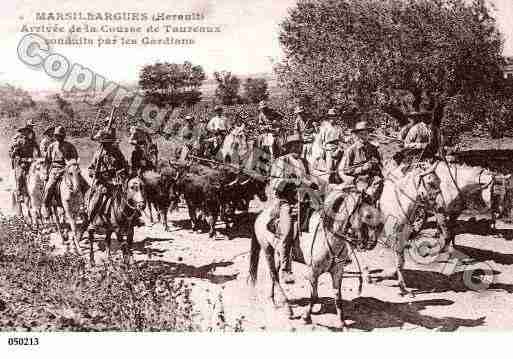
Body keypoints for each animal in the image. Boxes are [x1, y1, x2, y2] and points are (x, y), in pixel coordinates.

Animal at [248, 193, 384, 330]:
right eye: (368, 215)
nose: (372, 243)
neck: (329, 236)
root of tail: (261, 215)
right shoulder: (313, 272)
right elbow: (313, 296)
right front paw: (306, 317)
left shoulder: (337, 272)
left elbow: (337, 296)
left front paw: (342, 322)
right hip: (267, 249)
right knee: (274, 275)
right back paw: (287, 308)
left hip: (279, 252)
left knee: (275, 273)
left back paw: (272, 298)